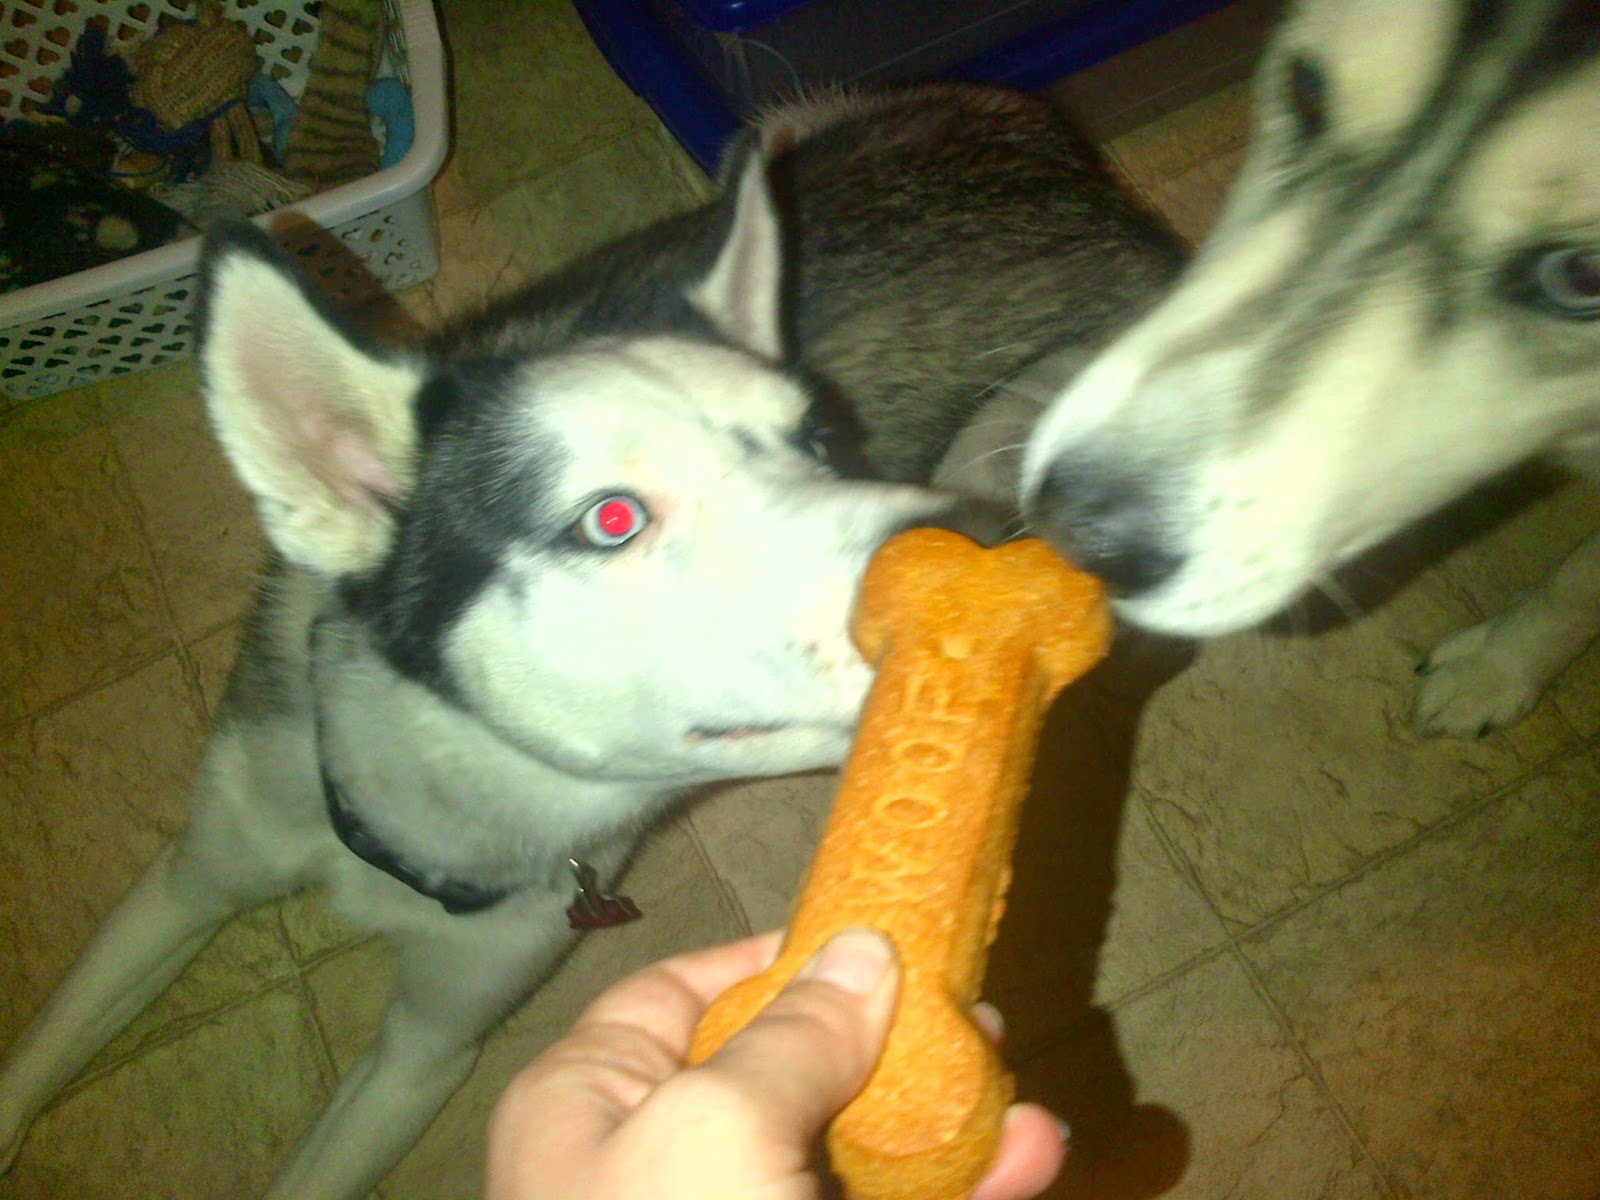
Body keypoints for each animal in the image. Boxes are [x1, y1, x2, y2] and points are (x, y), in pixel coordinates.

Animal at [0, 85, 1179, 1199]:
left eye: (815, 440)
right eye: (611, 519)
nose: (979, 549)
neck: (425, 799)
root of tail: (1082, 169)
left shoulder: (435, 1040)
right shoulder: (200, 865)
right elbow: (42, 1051)